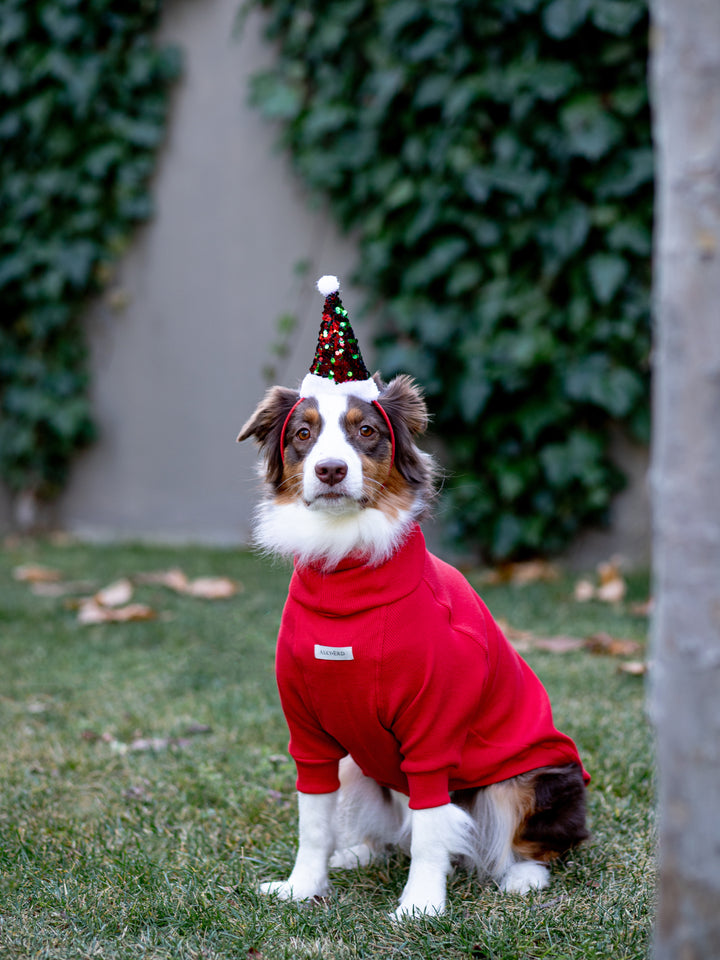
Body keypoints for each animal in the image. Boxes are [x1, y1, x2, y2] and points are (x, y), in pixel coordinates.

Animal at [239, 276, 588, 916]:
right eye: (303, 434)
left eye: (366, 432)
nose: (330, 470)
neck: (347, 570)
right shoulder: (310, 735)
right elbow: (313, 821)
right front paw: (304, 886)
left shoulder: (434, 727)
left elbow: (431, 825)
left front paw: (422, 904)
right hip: (359, 764)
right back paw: (359, 854)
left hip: (537, 776)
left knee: (517, 837)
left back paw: (520, 876)